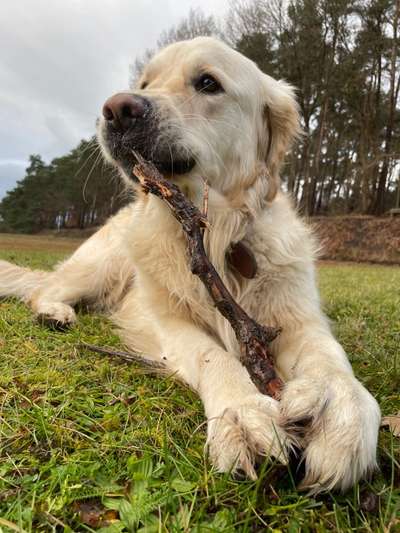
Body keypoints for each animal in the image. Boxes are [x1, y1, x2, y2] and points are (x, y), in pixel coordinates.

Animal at [0, 37, 382, 492]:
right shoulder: (166, 321)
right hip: (103, 265)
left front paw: (340, 404)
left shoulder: (297, 317)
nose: (116, 108)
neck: (214, 231)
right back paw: (55, 312)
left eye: (208, 83)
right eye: (145, 83)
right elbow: (212, 355)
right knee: (45, 289)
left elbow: (327, 353)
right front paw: (242, 410)